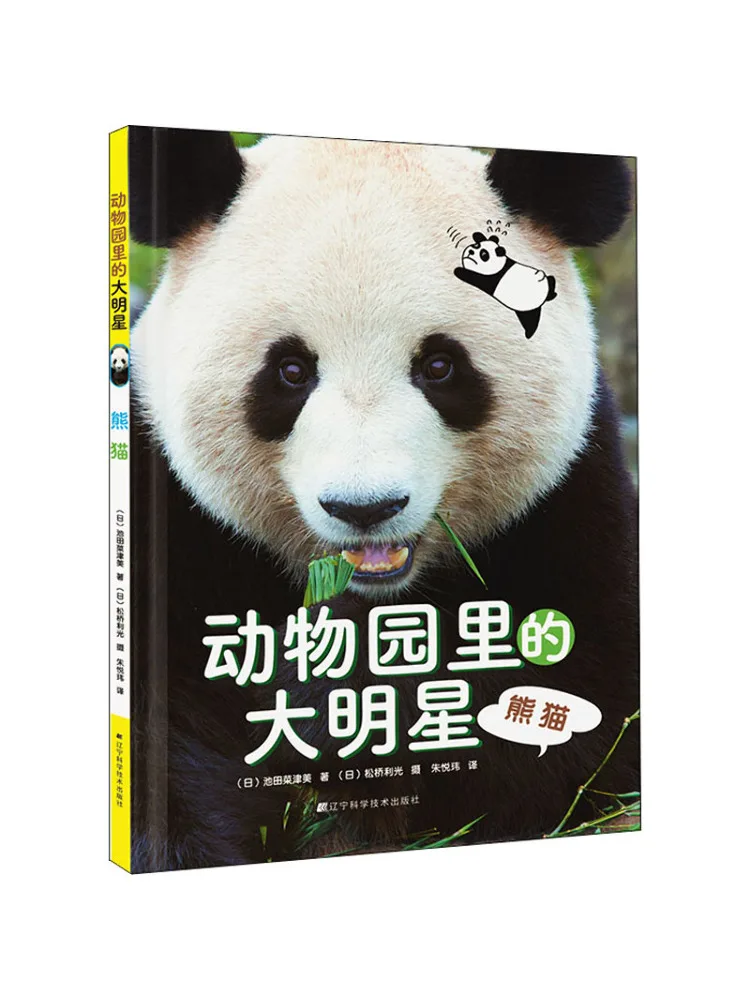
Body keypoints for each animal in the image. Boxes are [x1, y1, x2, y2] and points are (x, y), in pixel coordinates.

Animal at [128, 129, 638, 871]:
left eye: (440, 365)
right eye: (290, 370)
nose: (364, 508)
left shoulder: (573, 499)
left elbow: (589, 709)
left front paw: (338, 697)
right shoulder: (167, 509)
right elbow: (156, 729)